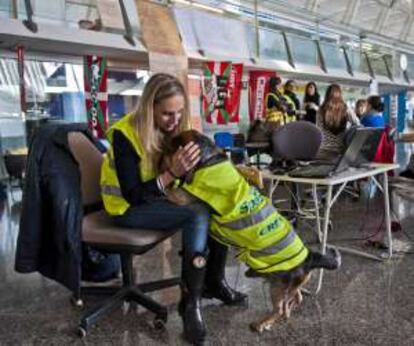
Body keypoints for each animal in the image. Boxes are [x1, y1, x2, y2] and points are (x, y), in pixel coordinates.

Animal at [162, 129, 340, 332]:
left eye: (171, 146)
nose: (161, 148)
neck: (210, 159)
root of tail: (309, 257)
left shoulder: (183, 196)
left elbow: (172, 190)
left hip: (277, 286)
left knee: (280, 308)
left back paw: (262, 323)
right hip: (285, 284)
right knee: (296, 298)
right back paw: (285, 312)